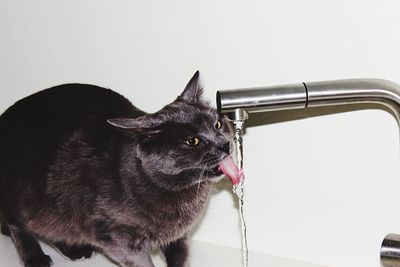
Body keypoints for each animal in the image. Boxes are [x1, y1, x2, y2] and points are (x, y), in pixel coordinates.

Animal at [0, 71, 231, 267]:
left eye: (218, 125)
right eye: (193, 141)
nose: (225, 144)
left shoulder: (180, 235)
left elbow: (180, 257)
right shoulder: (113, 237)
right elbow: (141, 262)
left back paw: (73, 249)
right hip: (23, 196)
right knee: (19, 226)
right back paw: (35, 258)